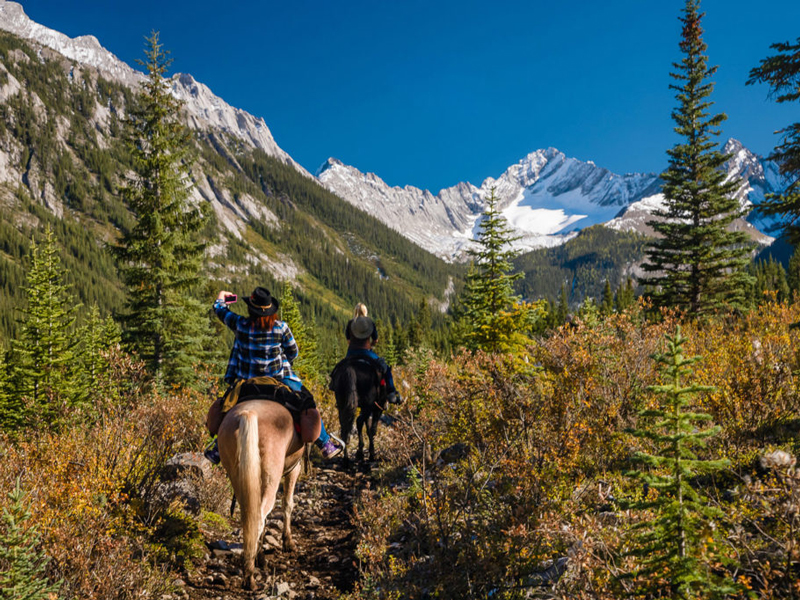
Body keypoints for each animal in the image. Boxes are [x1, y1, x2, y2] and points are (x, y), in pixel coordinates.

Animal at [217, 400, 304, 588]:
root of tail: (249, 413)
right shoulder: (295, 468)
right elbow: (288, 504)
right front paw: (288, 542)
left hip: (238, 477)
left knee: (251, 518)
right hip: (271, 479)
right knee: (259, 519)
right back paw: (249, 577)